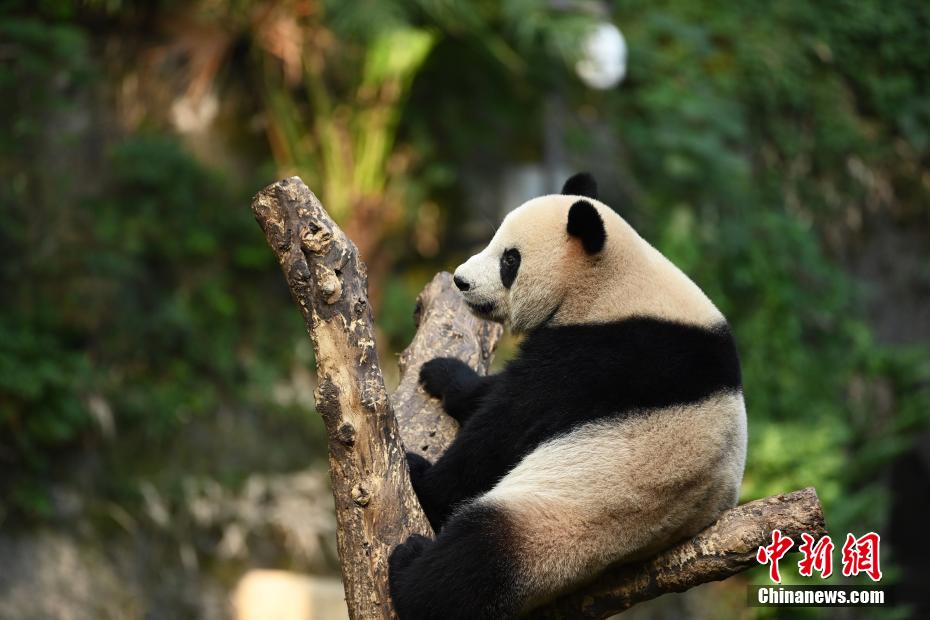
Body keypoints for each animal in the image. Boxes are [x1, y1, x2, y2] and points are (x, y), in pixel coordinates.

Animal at [388, 172, 744, 616]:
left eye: (510, 260)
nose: (461, 281)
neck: (613, 283)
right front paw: (442, 372)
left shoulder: (599, 355)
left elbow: (505, 425)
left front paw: (421, 473)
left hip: (558, 516)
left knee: (474, 555)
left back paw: (408, 567)